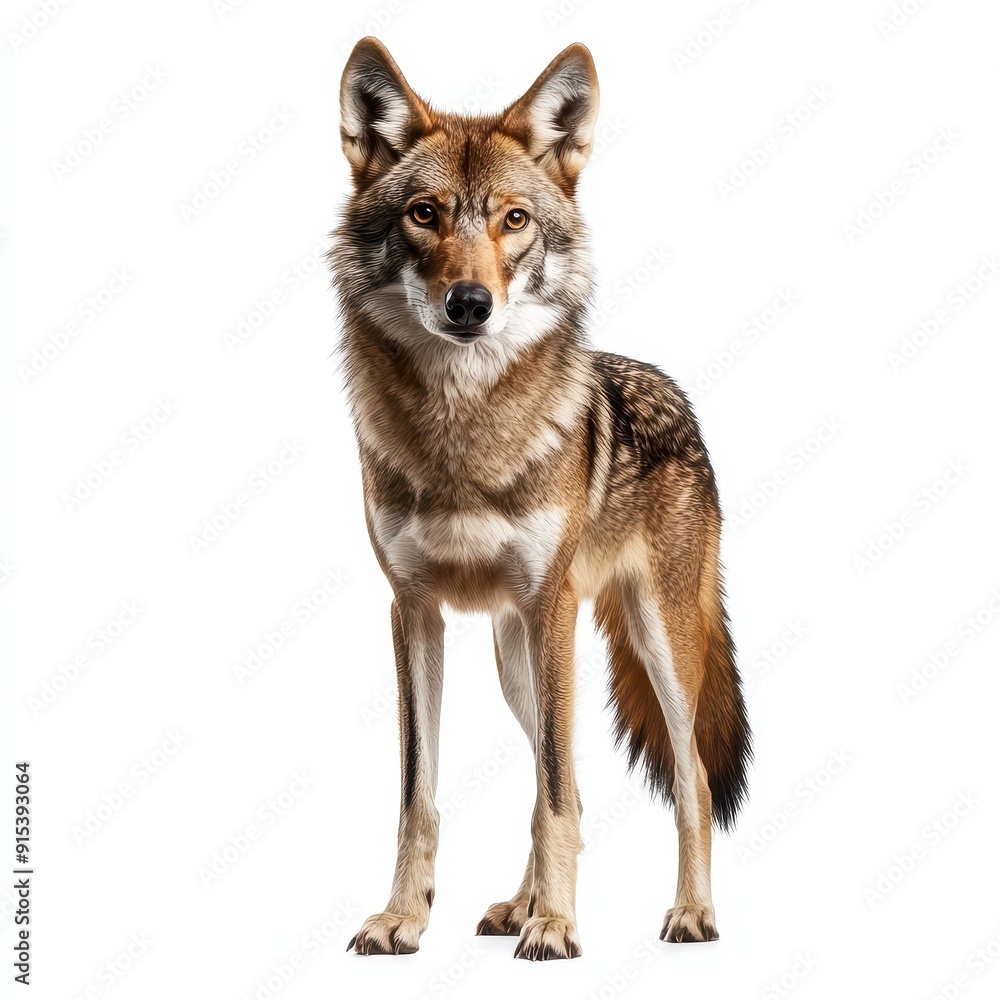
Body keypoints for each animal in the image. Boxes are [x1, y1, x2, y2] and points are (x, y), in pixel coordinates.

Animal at [330, 37, 751, 960]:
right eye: (424, 214)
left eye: (514, 220)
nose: (470, 304)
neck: (464, 433)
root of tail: (678, 396)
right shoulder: (411, 609)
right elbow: (421, 794)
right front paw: (404, 917)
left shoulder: (550, 602)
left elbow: (557, 795)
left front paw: (558, 927)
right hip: (515, 655)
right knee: (555, 780)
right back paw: (517, 906)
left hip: (653, 644)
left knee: (690, 781)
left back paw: (689, 914)